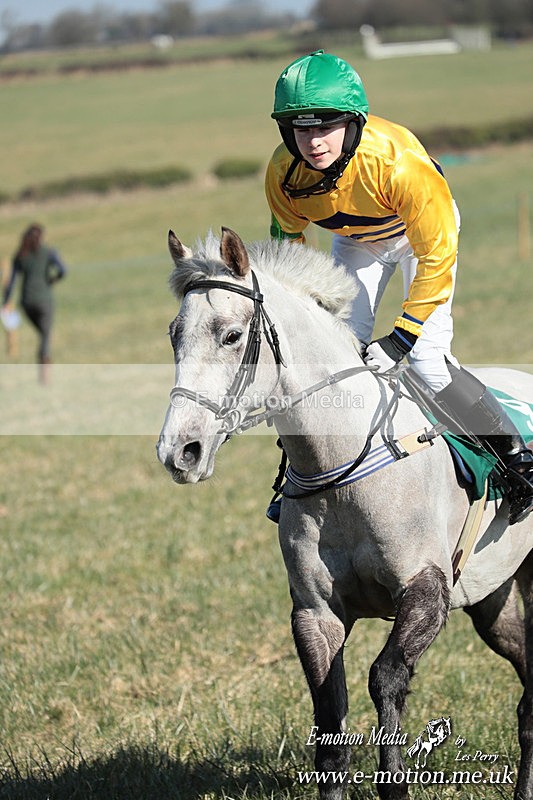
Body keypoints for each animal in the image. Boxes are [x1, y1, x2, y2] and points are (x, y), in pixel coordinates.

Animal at [157, 227, 533, 800]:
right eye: (175, 334)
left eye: (231, 335)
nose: (180, 451)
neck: (341, 464)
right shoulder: (316, 612)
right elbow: (329, 719)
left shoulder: (426, 592)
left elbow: (385, 678)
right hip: (496, 599)